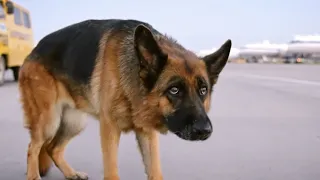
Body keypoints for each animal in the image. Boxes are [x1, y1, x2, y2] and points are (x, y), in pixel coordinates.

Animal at [18, 19, 230, 179]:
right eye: (175, 90)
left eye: (203, 90)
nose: (204, 130)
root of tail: (34, 49)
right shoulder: (109, 129)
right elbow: (111, 172)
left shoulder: (147, 132)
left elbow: (155, 171)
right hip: (49, 121)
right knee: (33, 147)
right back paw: (34, 176)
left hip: (74, 123)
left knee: (53, 148)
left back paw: (71, 174)